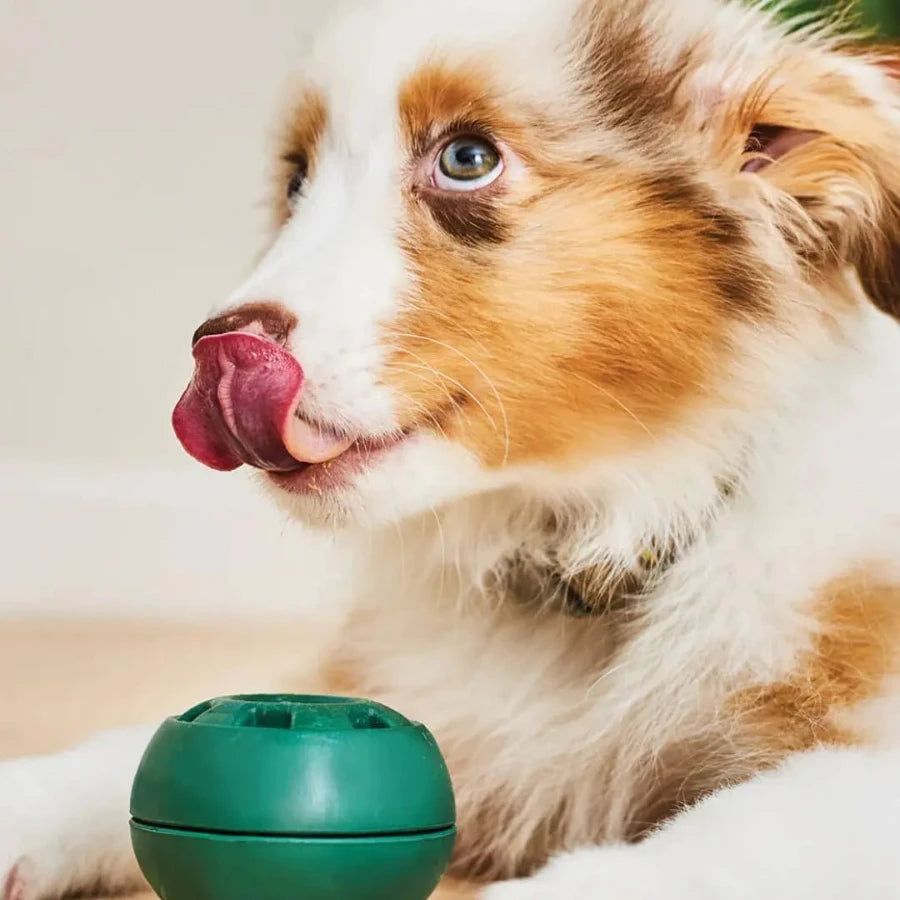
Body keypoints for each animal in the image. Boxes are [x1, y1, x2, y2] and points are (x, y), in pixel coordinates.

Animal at [1, 0, 900, 896]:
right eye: (296, 182)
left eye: (467, 160)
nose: (218, 353)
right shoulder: (426, 704)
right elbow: (129, 755)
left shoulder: (852, 770)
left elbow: (707, 841)